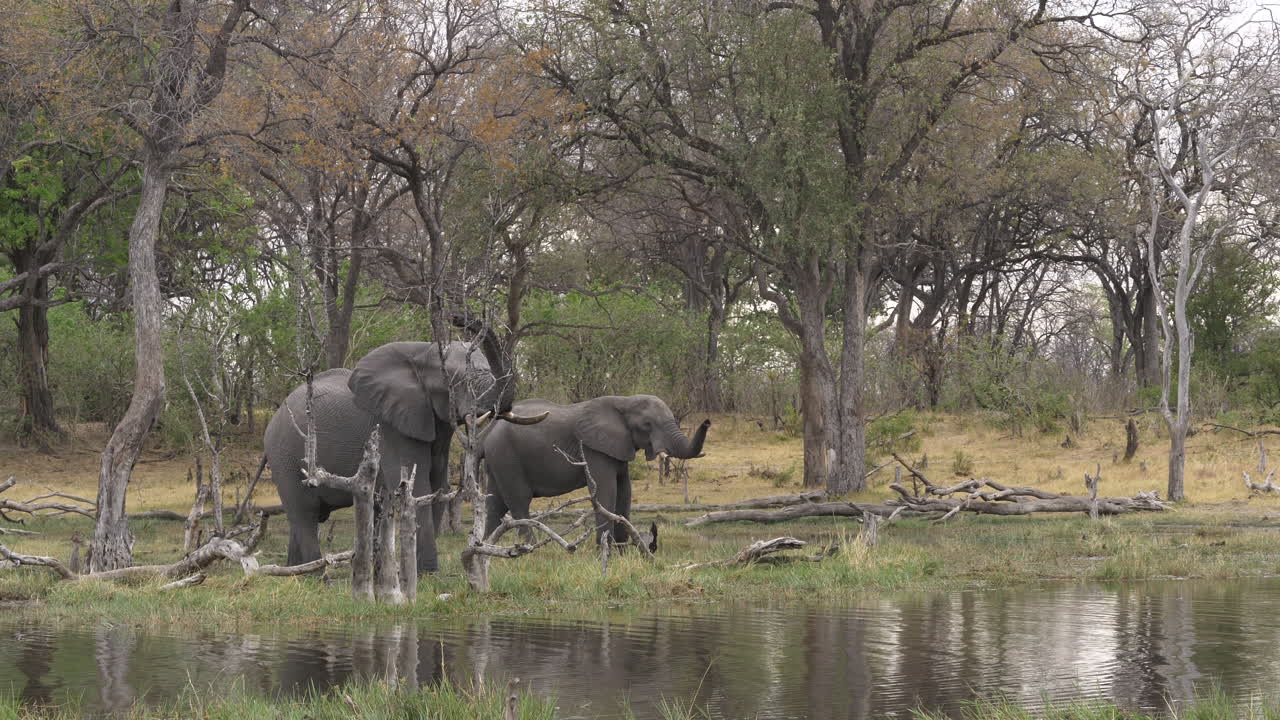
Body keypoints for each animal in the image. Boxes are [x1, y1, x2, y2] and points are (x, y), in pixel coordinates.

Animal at [264, 341, 539, 573]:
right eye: (456, 378)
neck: (422, 352)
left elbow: (438, 487)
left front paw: (420, 571)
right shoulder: (391, 426)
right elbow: (417, 488)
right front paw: (427, 573)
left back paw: (294, 572)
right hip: (284, 456)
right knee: (305, 513)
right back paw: (314, 575)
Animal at [481, 395, 710, 546]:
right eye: (647, 424)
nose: (707, 421)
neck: (624, 402)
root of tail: (489, 430)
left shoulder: (619, 446)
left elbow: (625, 491)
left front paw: (621, 552)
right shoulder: (593, 448)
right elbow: (606, 491)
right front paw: (606, 551)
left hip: (498, 459)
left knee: (494, 504)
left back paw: (486, 548)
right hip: (507, 456)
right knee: (519, 501)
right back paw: (528, 550)